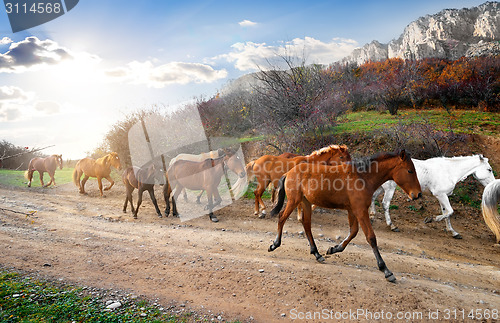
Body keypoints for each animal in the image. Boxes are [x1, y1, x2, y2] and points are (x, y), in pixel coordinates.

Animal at [270, 151, 422, 282]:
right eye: (410, 170)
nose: (418, 194)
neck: (363, 178)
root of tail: (288, 172)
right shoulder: (360, 211)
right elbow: (371, 237)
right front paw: (385, 270)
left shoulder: (353, 210)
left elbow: (353, 232)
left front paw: (334, 249)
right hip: (294, 200)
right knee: (282, 218)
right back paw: (275, 244)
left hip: (305, 202)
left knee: (306, 224)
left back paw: (317, 254)